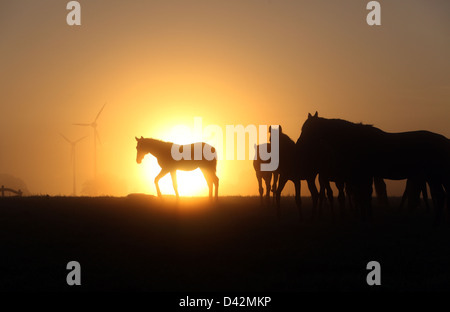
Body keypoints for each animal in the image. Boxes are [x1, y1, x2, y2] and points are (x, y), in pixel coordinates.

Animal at [296, 111, 450, 222]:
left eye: (308, 129)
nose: (298, 145)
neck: (355, 140)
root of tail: (445, 141)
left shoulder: (363, 175)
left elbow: (364, 196)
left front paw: (366, 217)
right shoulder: (360, 176)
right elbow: (362, 196)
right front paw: (365, 216)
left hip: (435, 176)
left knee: (441, 195)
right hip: (435, 177)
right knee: (442, 195)